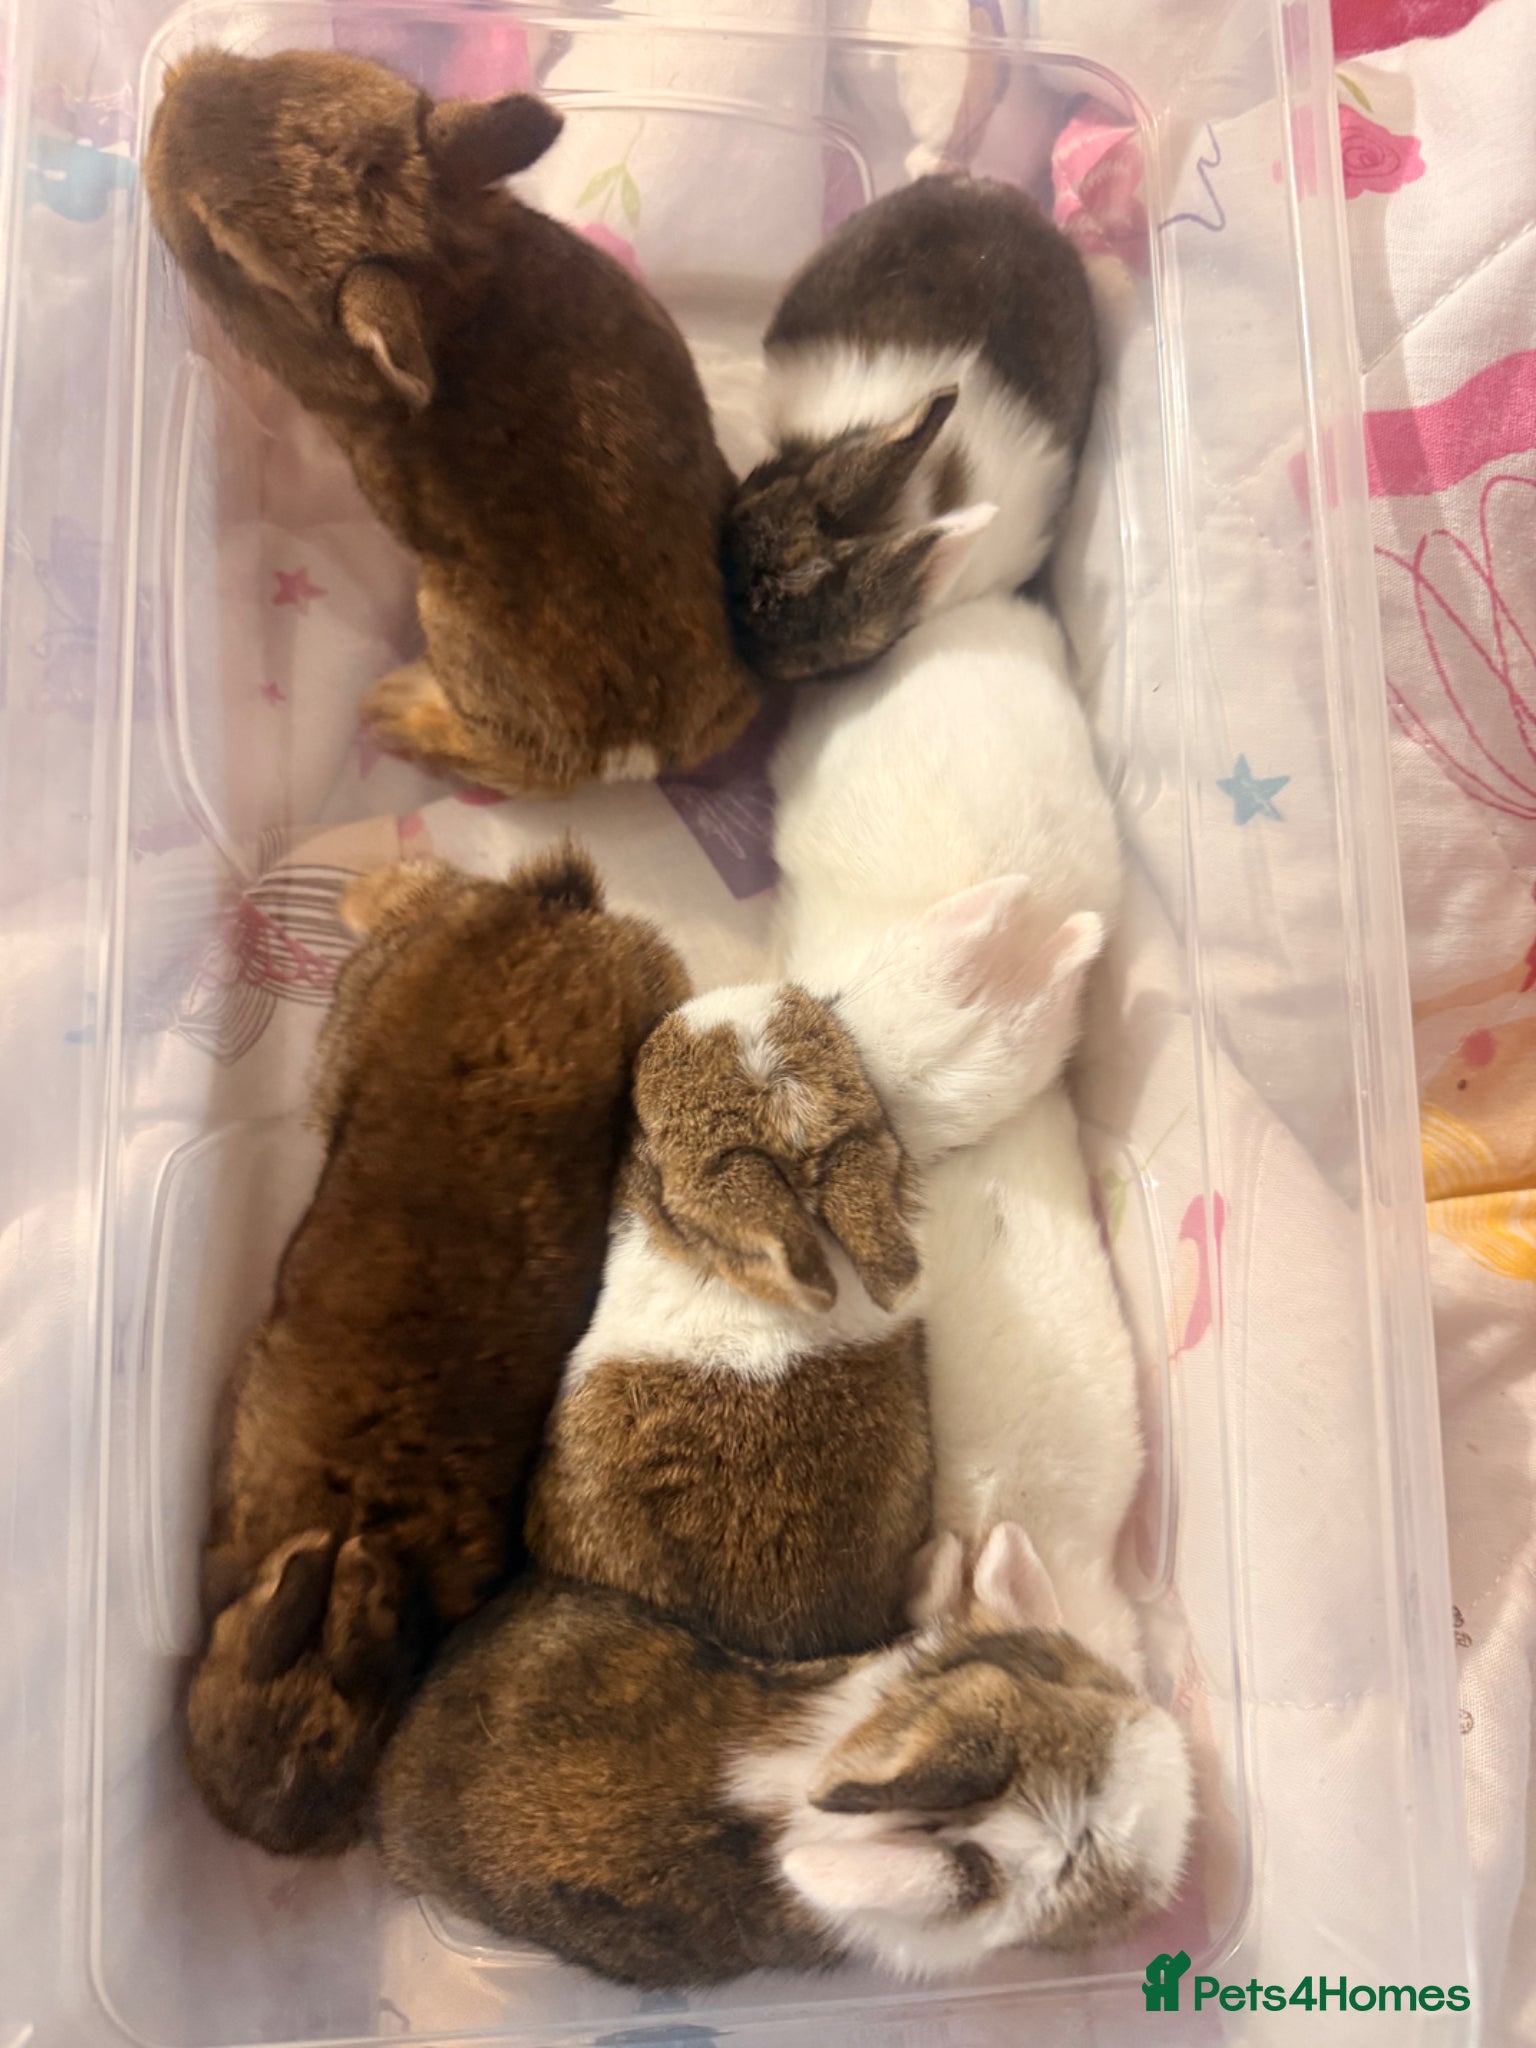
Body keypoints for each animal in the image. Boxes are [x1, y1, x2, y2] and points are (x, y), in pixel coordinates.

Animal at [144, 49, 757, 794]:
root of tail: (639, 754)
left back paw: (393, 708)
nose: (174, 81)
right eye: (295, 65)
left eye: (229, 251)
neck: (450, 287)